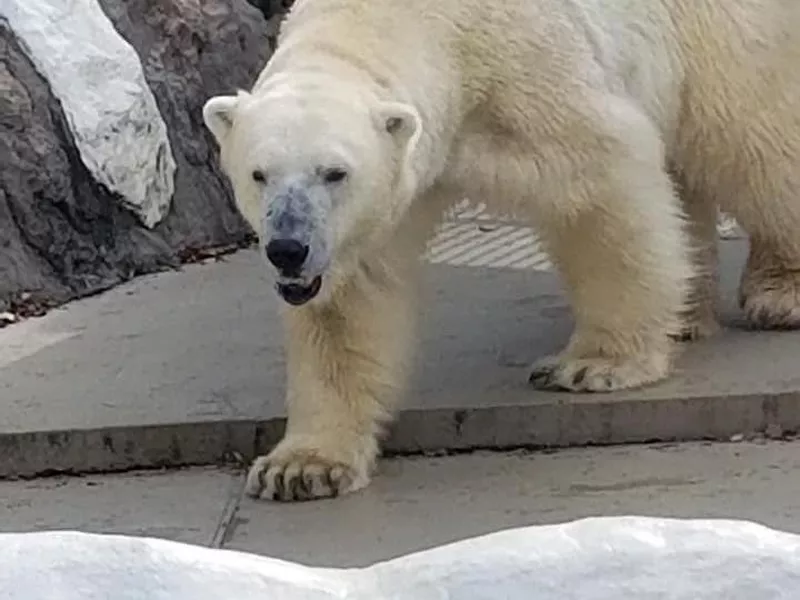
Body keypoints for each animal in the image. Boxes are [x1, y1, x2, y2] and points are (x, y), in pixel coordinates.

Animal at [203, 0, 800, 500]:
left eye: (334, 172)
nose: (288, 248)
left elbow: (602, 183)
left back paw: (780, 293)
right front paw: (301, 467)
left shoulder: (527, 76)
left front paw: (593, 365)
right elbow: (349, 301)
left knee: (752, 137)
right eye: (258, 174)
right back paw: (687, 315)